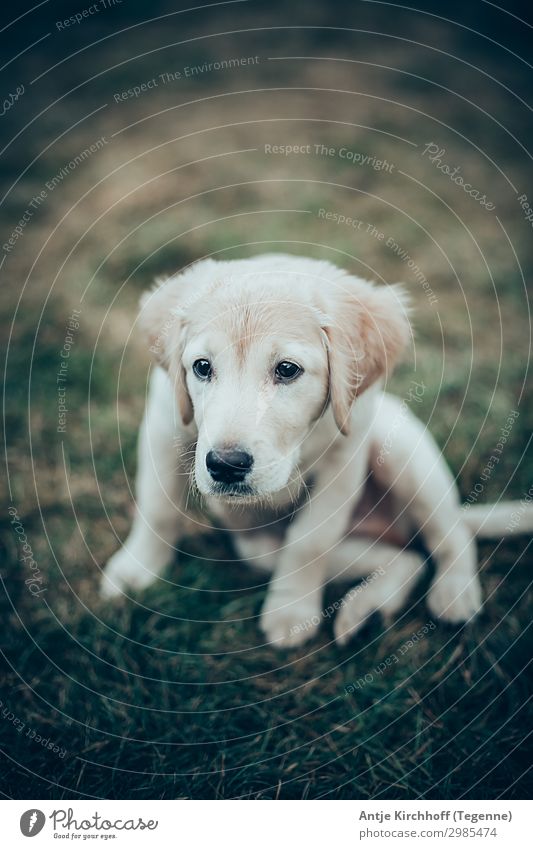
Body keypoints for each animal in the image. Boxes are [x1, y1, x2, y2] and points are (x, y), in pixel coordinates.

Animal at [101, 255, 532, 644]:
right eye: (202, 367)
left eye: (287, 370)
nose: (225, 465)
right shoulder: (162, 425)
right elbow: (158, 509)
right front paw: (136, 570)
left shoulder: (346, 458)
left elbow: (310, 542)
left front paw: (290, 613)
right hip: (263, 547)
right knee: (406, 558)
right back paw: (365, 610)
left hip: (401, 449)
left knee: (450, 534)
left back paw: (453, 593)